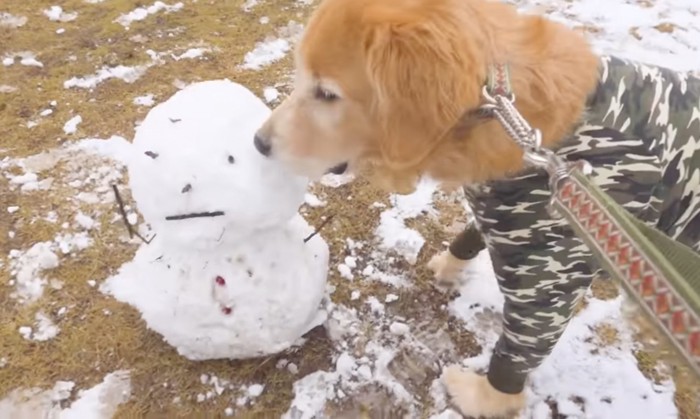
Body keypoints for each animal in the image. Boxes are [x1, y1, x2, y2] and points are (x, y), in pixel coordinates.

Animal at [256, 0, 700, 416]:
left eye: (327, 94)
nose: (258, 143)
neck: (498, 116)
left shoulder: (551, 268)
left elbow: (523, 344)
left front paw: (485, 397)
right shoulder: (501, 210)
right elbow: (471, 234)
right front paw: (450, 264)